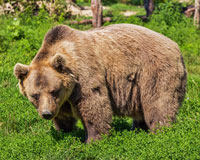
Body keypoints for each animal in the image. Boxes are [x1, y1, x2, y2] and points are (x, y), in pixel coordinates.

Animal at [14, 23, 188, 142]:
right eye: (35, 95)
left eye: (54, 91)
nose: (46, 113)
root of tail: (175, 46)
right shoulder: (62, 99)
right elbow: (63, 116)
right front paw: (64, 131)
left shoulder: (84, 75)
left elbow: (94, 105)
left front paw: (92, 139)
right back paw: (138, 129)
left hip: (154, 71)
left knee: (159, 103)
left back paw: (160, 132)